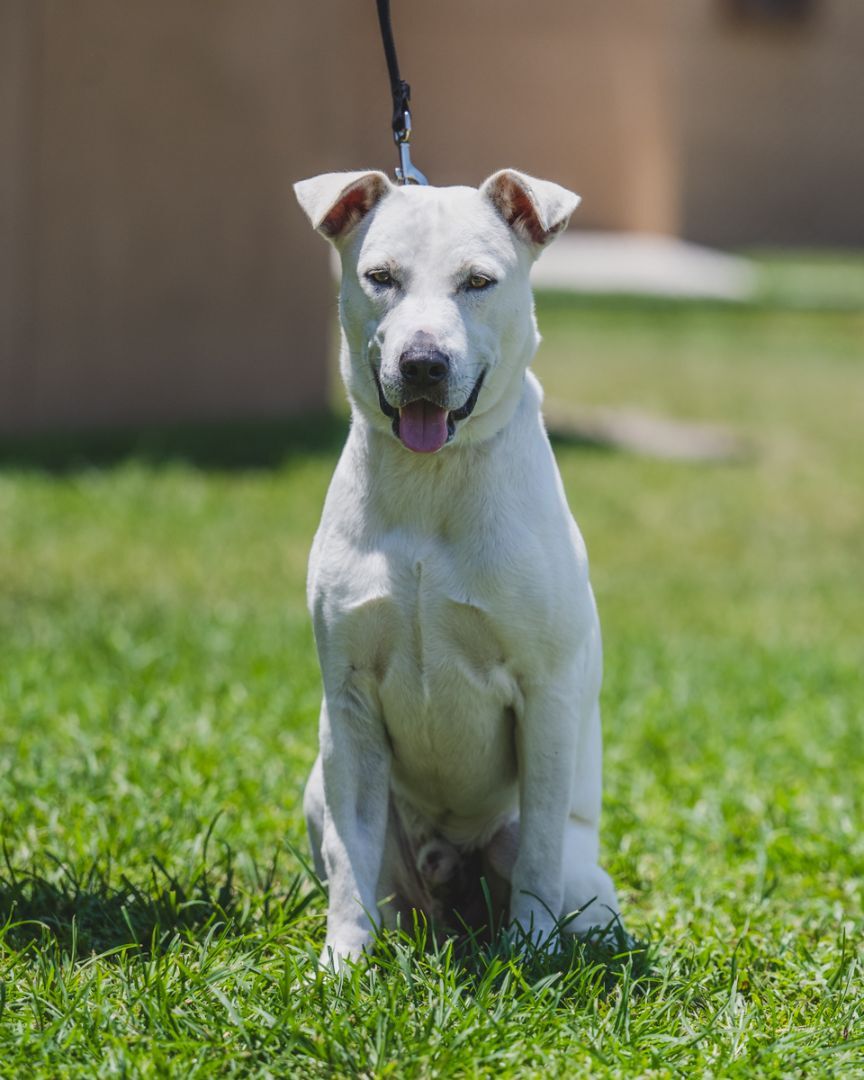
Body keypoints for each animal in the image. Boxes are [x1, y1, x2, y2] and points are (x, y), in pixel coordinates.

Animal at [298, 168, 622, 972]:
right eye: (381, 277)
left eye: (478, 281)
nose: (422, 365)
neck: (433, 480)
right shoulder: (350, 702)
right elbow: (353, 858)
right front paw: (343, 960)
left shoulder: (545, 694)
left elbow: (537, 850)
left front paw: (533, 952)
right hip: (321, 789)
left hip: (575, 867)